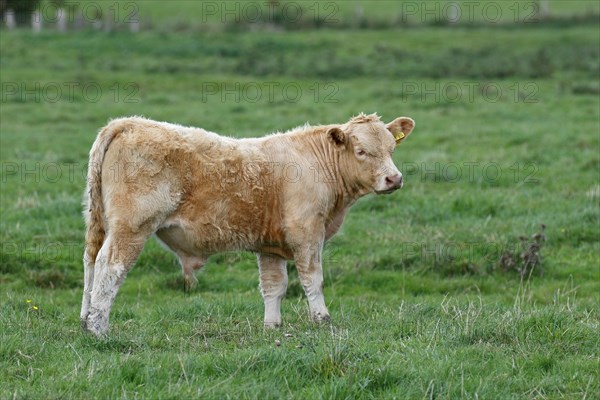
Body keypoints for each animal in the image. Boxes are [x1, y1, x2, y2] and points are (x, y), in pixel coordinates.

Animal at [81, 112, 412, 334]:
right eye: (362, 151)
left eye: (391, 149)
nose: (394, 178)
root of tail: (127, 122)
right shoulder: (307, 235)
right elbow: (312, 280)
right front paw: (321, 319)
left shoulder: (270, 246)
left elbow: (274, 286)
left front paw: (272, 326)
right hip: (131, 228)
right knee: (110, 266)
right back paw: (99, 328)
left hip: (99, 223)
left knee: (90, 262)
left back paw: (86, 320)